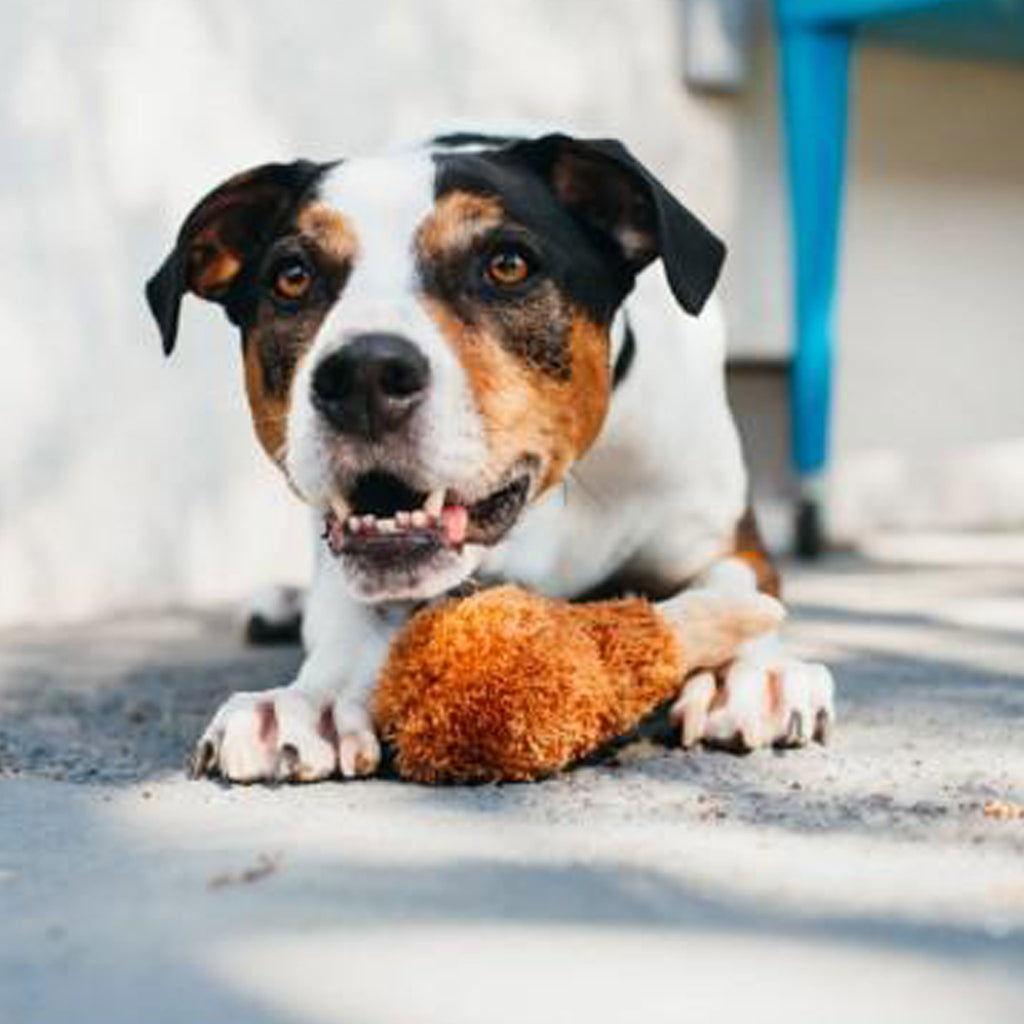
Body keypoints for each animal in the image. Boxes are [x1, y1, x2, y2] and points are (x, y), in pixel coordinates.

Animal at [146, 130, 831, 782]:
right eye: (292, 276)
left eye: (508, 266)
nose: (364, 375)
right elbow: (347, 617)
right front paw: (310, 701)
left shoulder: (721, 537)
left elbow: (745, 591)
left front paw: (747, 675)